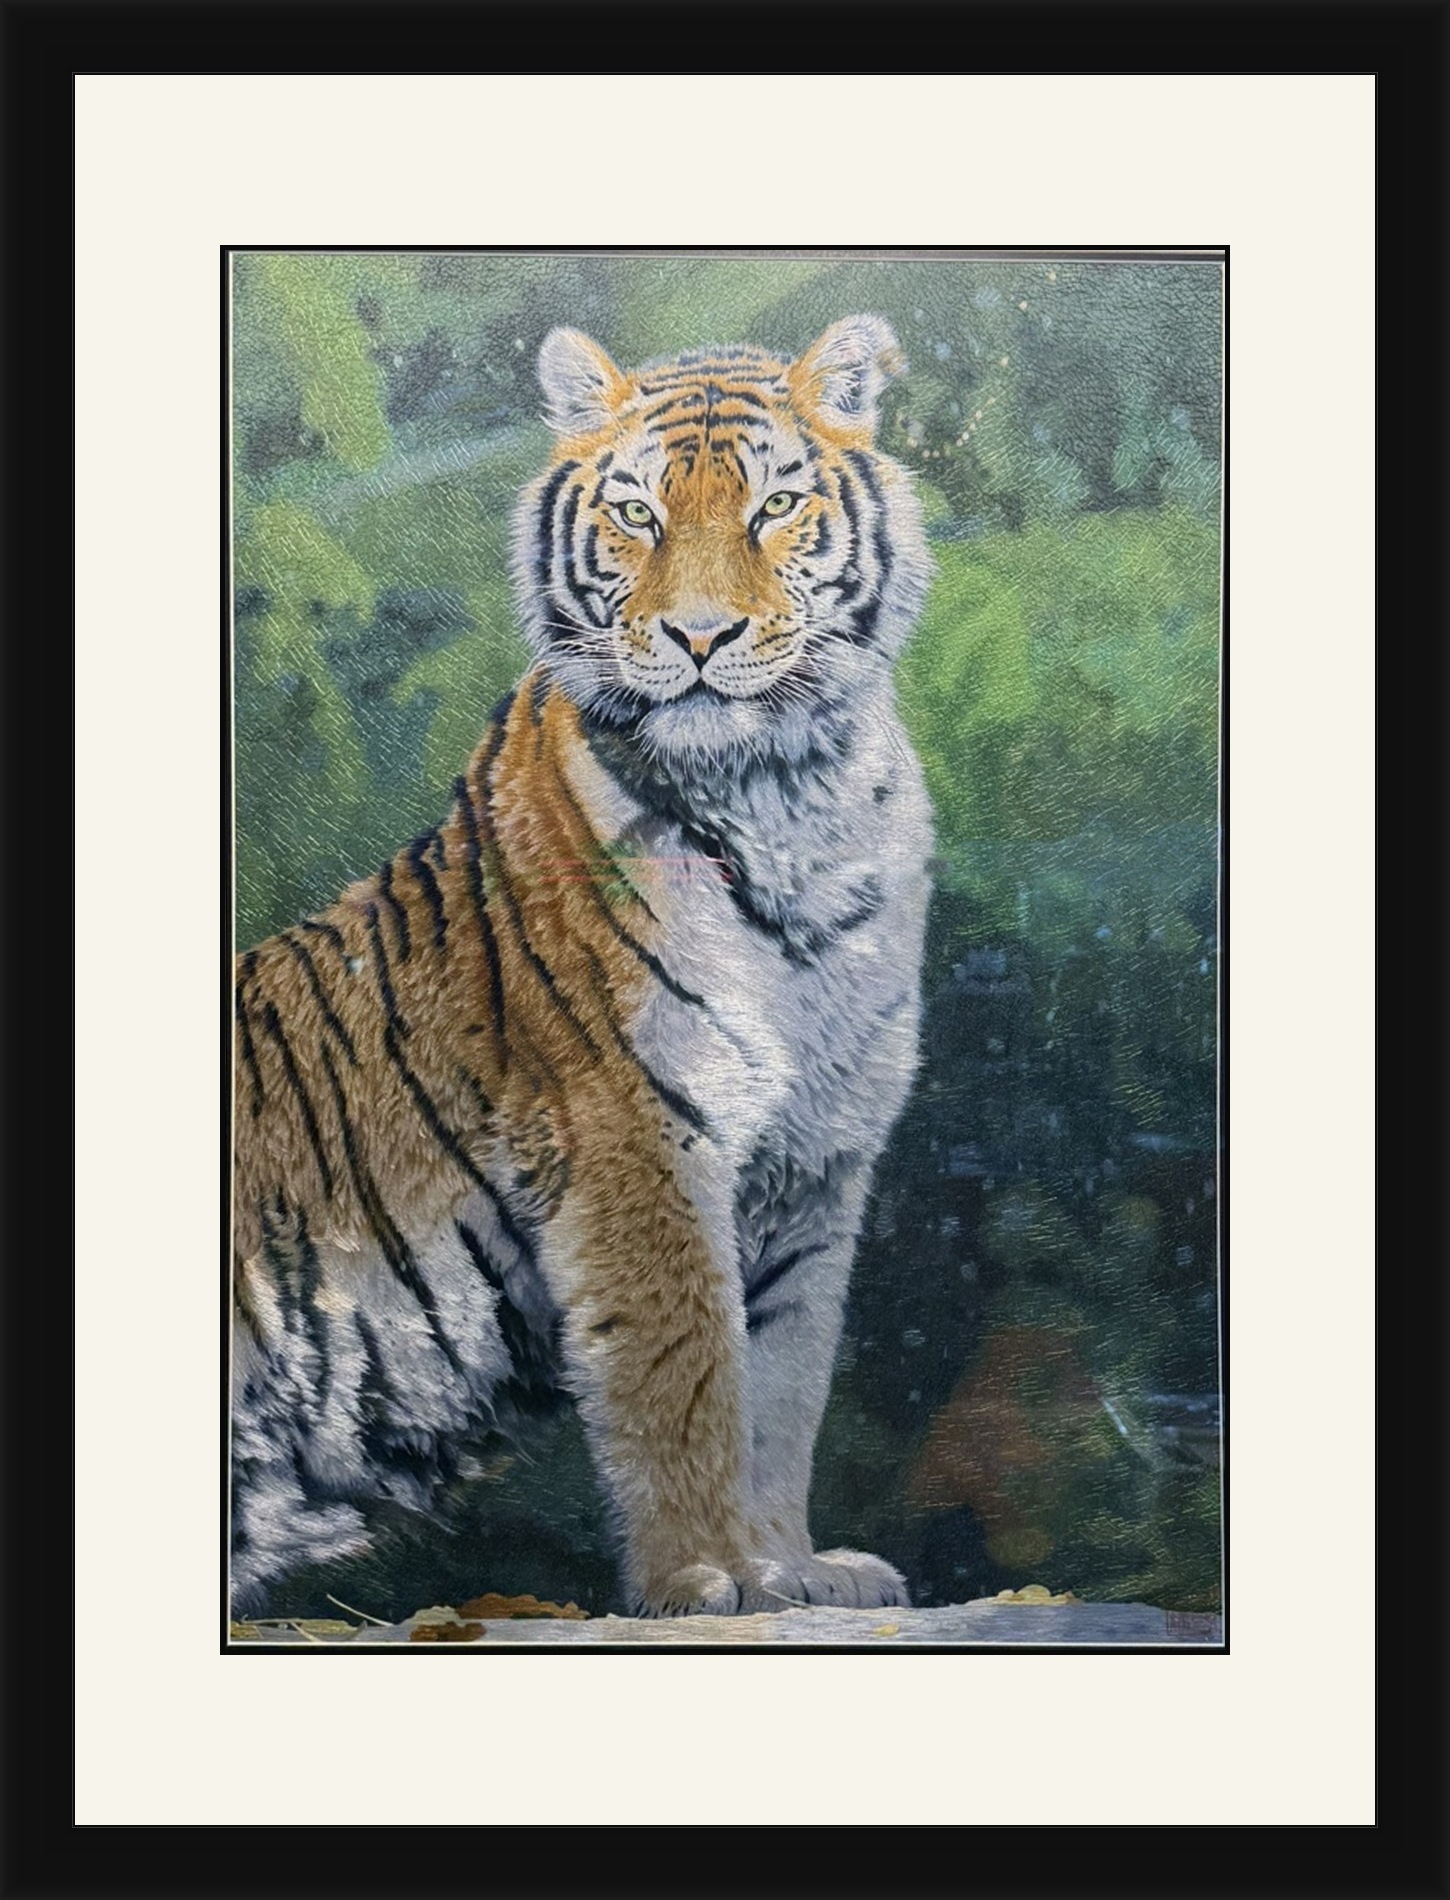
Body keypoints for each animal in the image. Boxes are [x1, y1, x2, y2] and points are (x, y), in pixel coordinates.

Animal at [231, 314, 935, 1619]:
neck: (790, 801)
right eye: (637, 514)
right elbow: (685, 1373)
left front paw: (791, 1568)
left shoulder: (817, 1164)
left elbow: (784, 1385)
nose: (699, 636)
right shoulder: (629, 1131)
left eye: (773, 506)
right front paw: (707, 1577)